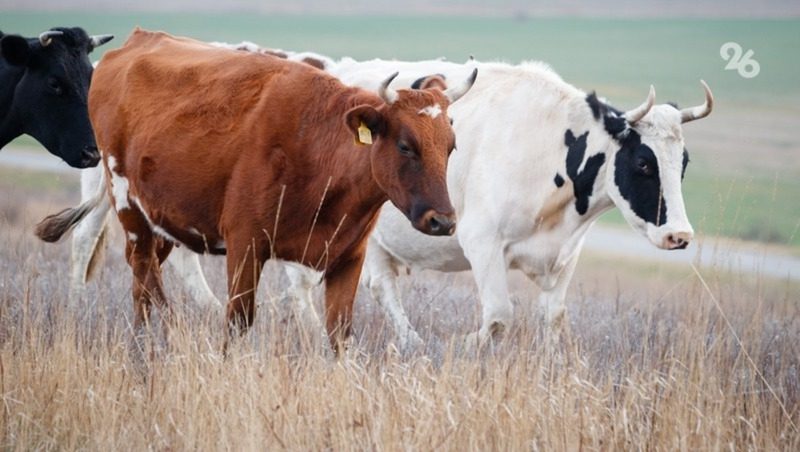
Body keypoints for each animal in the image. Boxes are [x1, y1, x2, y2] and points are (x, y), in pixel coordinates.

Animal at [37, 30, 476, 352]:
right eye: (405, 146)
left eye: (451, 146)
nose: (442, 221)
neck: (318, 148)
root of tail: (135, 43)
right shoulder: (245, 247)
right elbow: (238, 322)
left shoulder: (348, 257)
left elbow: (339, 334)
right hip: (129, 208)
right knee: (146, 277)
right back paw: (166, 333)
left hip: (162, 220)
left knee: (142, 279)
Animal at [65, 49, 712, 352]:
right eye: (642, 162)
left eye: (682, 163)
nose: (679, 235)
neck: (548, 140)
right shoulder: (481, 243)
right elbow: (498, 317)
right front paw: (459, 348)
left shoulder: (562, 260)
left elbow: (553, 322)